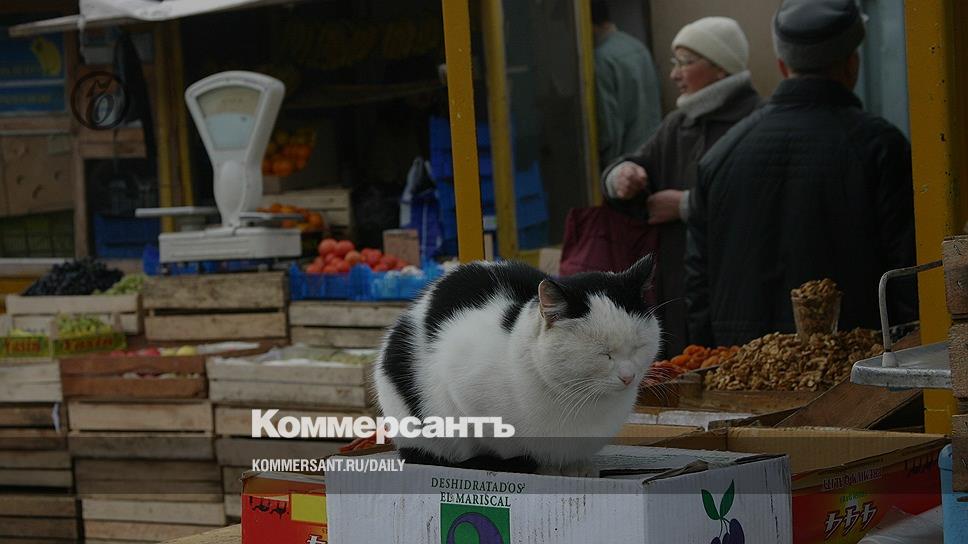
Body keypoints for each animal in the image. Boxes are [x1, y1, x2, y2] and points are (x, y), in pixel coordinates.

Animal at [372, 256, 661, 477]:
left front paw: (576, 466)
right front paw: (537, 464)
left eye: (638, 347)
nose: (628, 376)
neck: (580, 401)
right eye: (604, 354)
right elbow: (496, 442)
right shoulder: (461, 383)